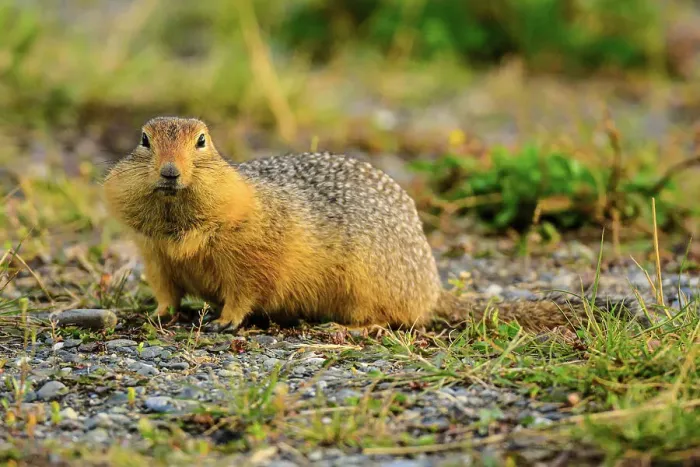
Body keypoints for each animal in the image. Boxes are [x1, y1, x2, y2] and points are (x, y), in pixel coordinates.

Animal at [103, 116, 649, 333]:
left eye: (202, 141)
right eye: (144, 139)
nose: (170, 172)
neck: (180, 227)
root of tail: (432, 289)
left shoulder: (253, 252)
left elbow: (246, 289)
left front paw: (225, 320)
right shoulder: (155, 255)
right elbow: (166, 290)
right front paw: (156, 314)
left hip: (368, 283)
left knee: (391, 318)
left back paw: (346, 328)